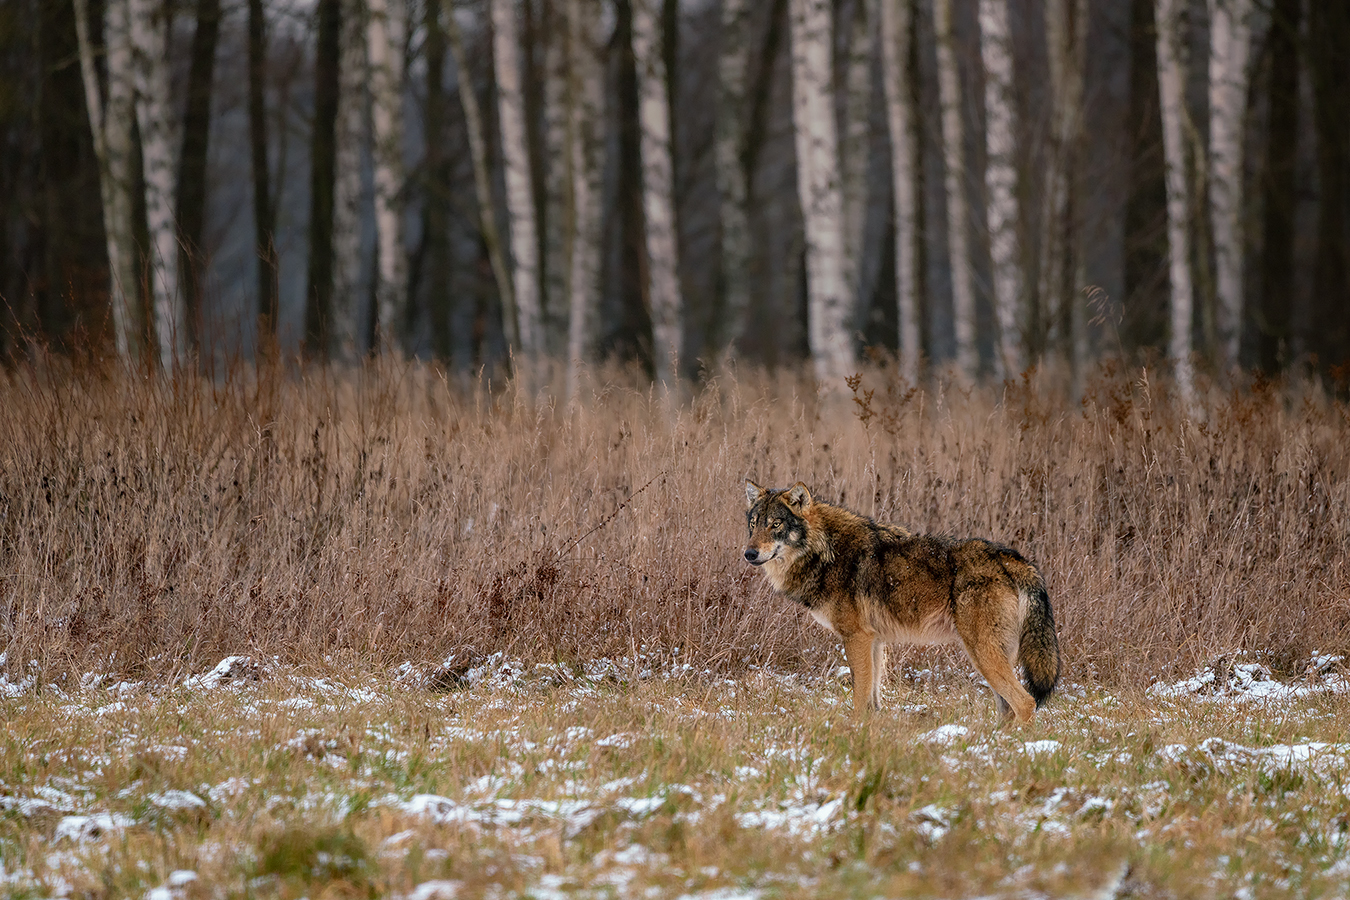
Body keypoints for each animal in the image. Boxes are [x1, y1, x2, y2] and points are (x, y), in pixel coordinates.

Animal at [745, 477, 1058, 723]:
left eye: (776, 524)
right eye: (753, 524)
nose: (749, 553)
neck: (825, 551)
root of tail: (1015, 560)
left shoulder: (856, 637)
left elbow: (859, 698)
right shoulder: (873, 641)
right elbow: (872, 701)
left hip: (982, 653)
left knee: (1025, 703)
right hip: (990, 656)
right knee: (1008, 709)